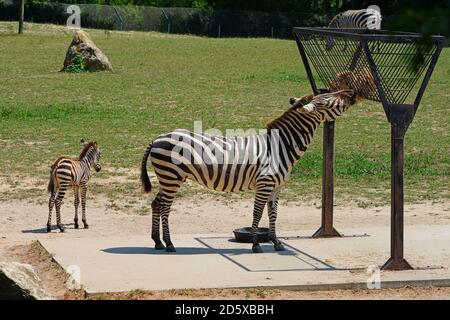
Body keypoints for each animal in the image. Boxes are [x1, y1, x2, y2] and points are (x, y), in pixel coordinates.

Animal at [141, 89, 358, 252]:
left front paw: (276, 242)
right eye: (329, 99)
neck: (281, 145)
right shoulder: (265, 183)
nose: (351, 92)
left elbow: (273, 214)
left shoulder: (276, 186)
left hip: (168, 178)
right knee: (165, 207)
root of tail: (157, 137)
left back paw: (158, 242)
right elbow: (258, 213)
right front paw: (255, 244)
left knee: (156, 204)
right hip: (171, 177)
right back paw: (169, 243)